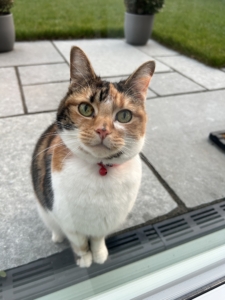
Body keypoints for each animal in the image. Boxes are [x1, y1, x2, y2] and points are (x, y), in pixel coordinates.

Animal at [31, 46, 155, 268]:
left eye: (124, 115)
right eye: (85, 109)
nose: (102, 130)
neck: (100, 169)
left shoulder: (103, 222)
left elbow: (97, 239)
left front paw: (99, 254)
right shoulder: (67, 220)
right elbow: (79, 242)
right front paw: (85, 260)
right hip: (43, 208)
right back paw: (57, 237)